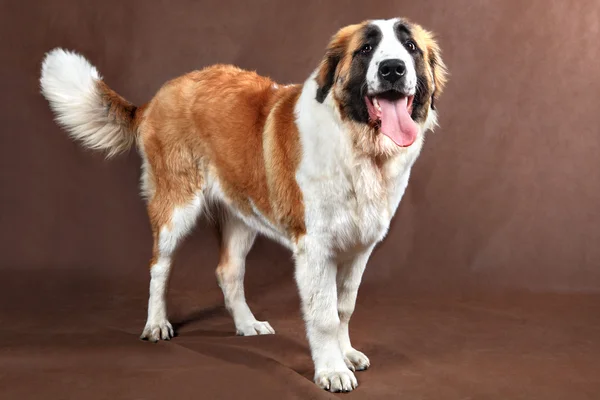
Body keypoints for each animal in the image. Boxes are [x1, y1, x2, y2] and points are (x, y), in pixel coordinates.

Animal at [39, 17, 446, 392]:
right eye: (366, 49)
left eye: (410, 47)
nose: (392, 68)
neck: (360, 147)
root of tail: (160, 95)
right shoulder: (315, 248)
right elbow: (325, 314)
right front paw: (332, 370)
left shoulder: (360, 246)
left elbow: (344, 307)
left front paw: (345, 354)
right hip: (176, 207)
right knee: (160, 266)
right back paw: (155, 324)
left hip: (242, 214)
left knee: (228, 271)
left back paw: (246, 323)